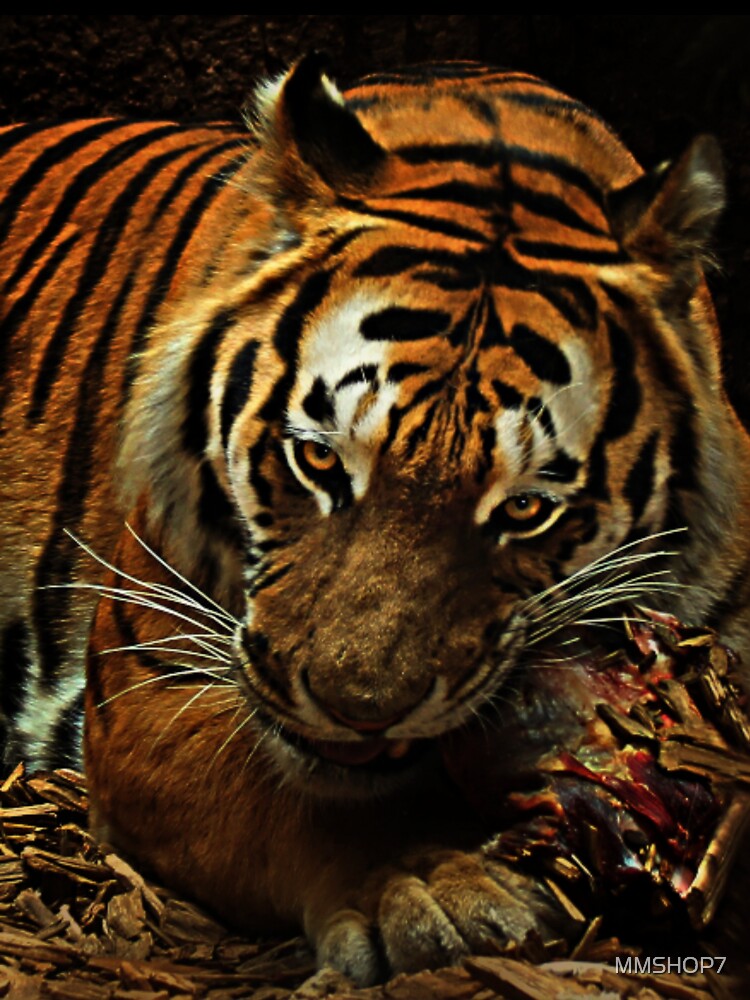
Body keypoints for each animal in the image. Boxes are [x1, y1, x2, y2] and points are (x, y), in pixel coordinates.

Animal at [1, 54, 749, 985]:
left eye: (525, 508)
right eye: (320, 461)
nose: (359, 711)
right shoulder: (149, 687)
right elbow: (299, 799)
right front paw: (432, 888)